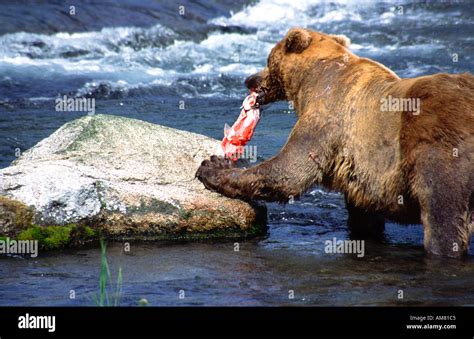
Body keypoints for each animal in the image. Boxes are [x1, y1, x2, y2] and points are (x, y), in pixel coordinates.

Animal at [196, 27, 474, 258]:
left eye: (267, 61)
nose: (250, 79)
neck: (310, 80)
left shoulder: (328, 115)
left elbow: (289, 171)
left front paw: (212, 166)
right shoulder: (362, 170)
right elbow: (363, 213)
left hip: (438, 149)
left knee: (443, 215)